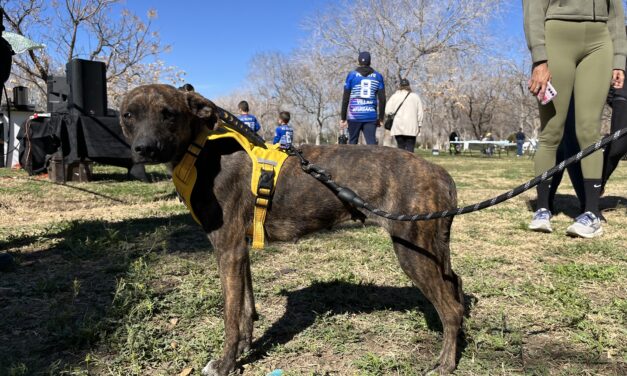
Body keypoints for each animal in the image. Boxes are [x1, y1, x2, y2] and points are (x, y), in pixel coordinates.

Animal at [121, 83, 466, 374]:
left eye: (169, 113)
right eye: (128, 115)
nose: (145, 149)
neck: (201, 150)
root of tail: (441, 173)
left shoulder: (227, 249)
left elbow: (230, 316)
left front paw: (225, 363)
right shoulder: (241, 250)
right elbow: (246, 308)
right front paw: (246, 346)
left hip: (412, 251)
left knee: (450, 309)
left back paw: (445, 364)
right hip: (434, 250)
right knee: (456, 286)